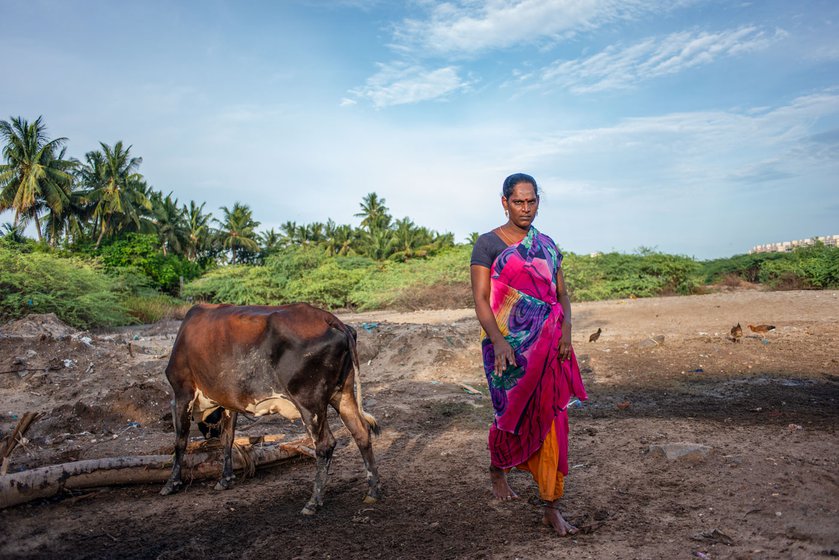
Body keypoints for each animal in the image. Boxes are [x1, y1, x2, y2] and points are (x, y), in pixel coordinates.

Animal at [160, 304, 380, 516]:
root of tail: (330, 319)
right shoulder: (229, 401)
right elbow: (227, 438)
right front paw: (225, 478)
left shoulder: (182, 393)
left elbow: (180, 441)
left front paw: (172, 483)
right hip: (342, 394)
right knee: (361, 432)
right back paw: (372, 491)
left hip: (310, 403)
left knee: (325, 445)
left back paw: (313, 502)